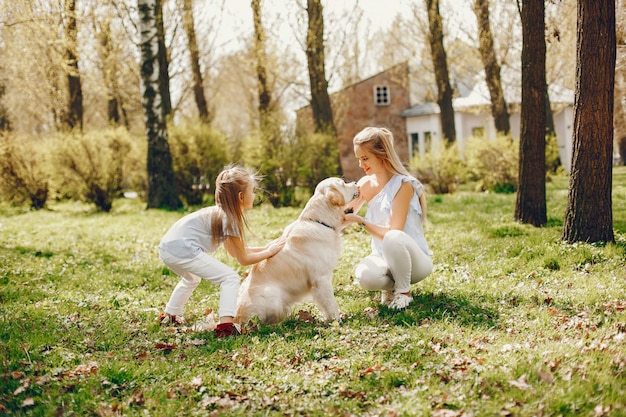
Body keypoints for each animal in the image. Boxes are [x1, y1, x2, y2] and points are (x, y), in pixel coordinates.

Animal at [234, 177, 358, 324]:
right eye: (343, 183)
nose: (356, 183)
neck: (319, 221)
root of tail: (237, 319)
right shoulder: (321, 278)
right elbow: (330, 302)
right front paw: (336, 321)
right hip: (271, 293)